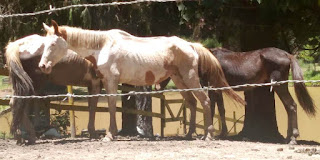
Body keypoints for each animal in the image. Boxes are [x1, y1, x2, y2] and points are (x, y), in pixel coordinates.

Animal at [40, 20, 245, 141]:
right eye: (44, 43)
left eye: (53, 44)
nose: (42, 66)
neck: (103, 46)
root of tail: (190, 45)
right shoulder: (103, 82)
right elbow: (102, 106)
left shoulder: (111, 81)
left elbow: (112, 105)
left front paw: (110, 135)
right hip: (179, 80)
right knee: (192, 103)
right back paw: (188, 134)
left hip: (190, 78)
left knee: (205, 101)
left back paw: (208, 135)